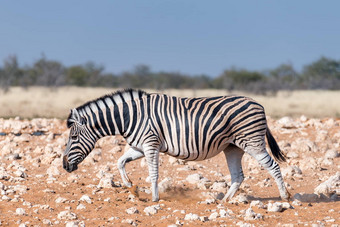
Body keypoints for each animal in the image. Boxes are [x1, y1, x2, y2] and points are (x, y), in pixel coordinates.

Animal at [61, 88, 290, 202]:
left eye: (74, 138)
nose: (64, 166)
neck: (128, 117)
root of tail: (259, 104)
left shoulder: (150, 144)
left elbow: (153, 173)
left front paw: (154, 198)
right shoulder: (139, 146)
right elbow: (120, 162)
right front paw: (130, 186)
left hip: (252, 142)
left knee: (273, 166)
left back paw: (285, 197)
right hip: (233, 147)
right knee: (238, 176)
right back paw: (224, 201)